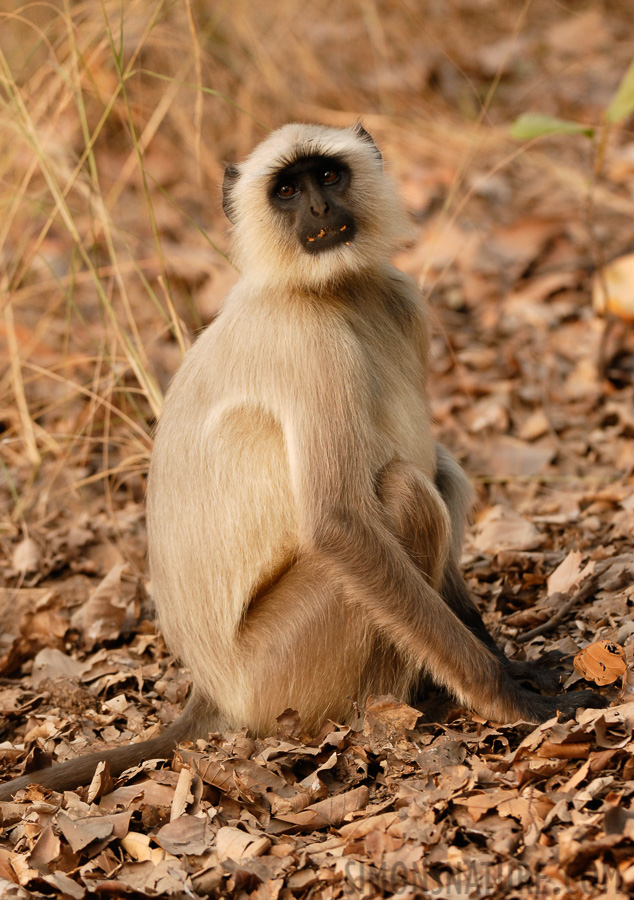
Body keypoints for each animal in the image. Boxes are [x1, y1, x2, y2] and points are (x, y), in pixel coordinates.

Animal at [0, 121, 604, 800]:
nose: (318, 209)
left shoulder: (402, 298)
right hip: (281, 673)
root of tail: (213, 691)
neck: (332, 288)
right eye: (287, 190)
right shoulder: (306, 341)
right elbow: (340, 524)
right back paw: (409, 710)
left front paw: (513, 668)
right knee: (405, 493)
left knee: (438, 471)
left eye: (329, 176)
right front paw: (511, 700)